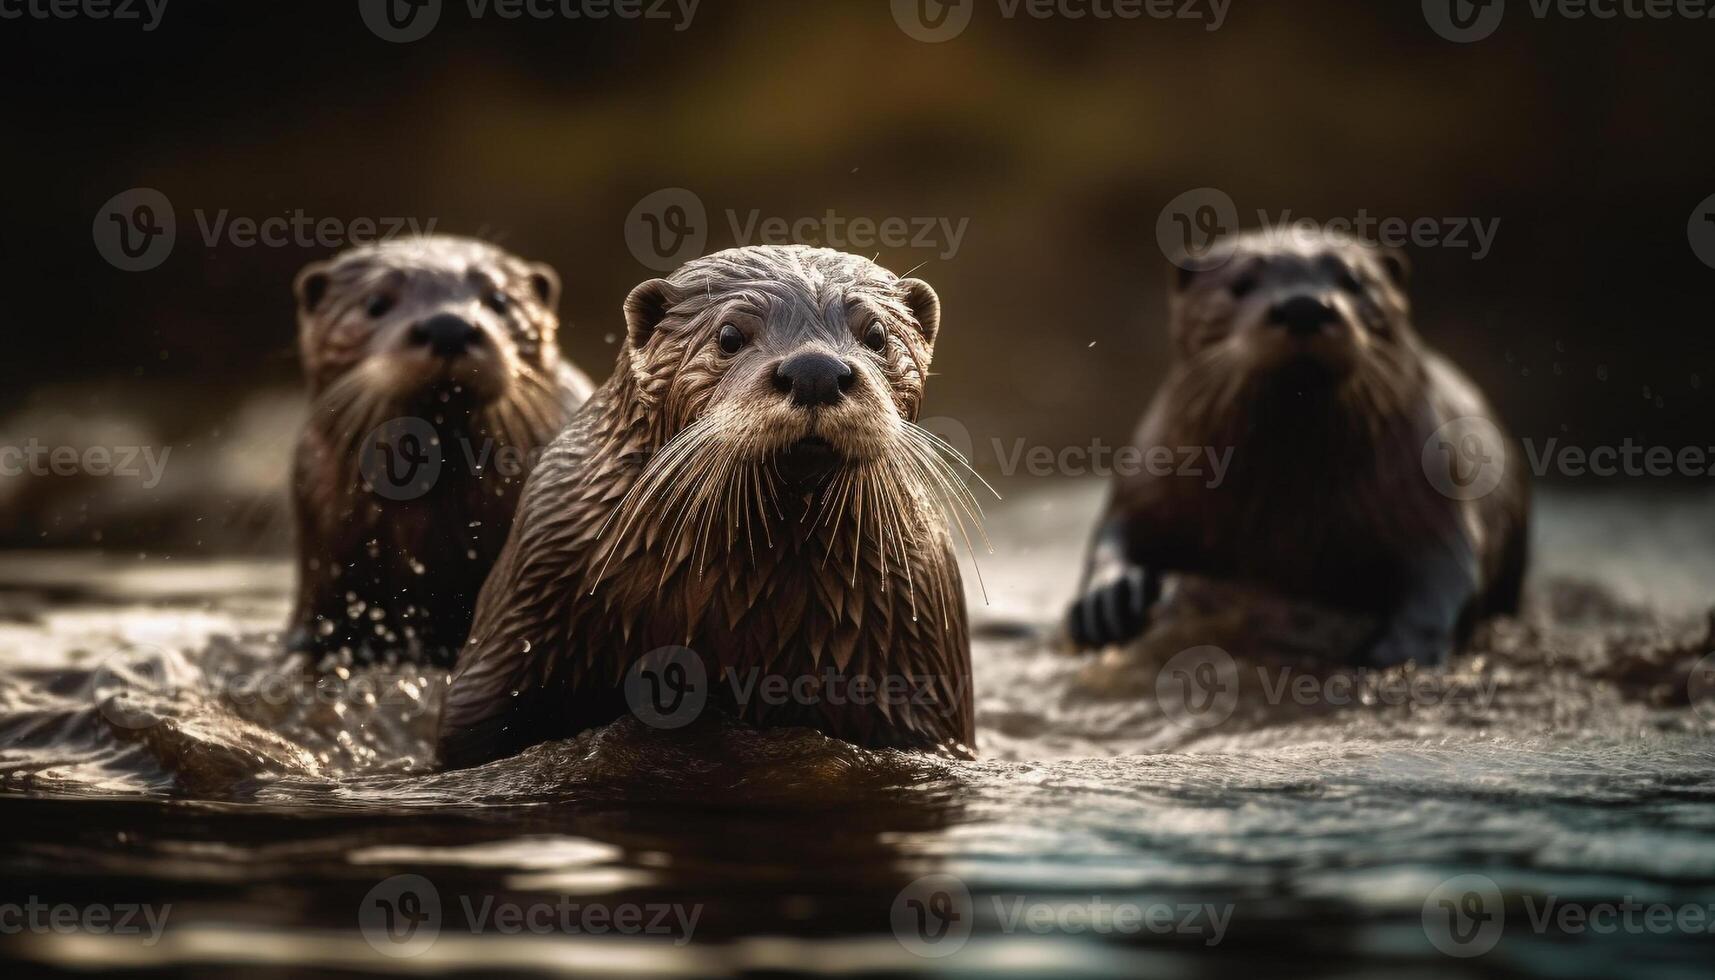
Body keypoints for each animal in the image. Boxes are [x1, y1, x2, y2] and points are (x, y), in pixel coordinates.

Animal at [1070, 229, 1529, 665]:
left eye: (1354, 281)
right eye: (1241, 283)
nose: (1304, 306)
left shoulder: (1430, 480)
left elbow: (1449, 568)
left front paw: (1402, 650)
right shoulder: (1155, 467)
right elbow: (1114, 529)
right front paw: (1108, 597)